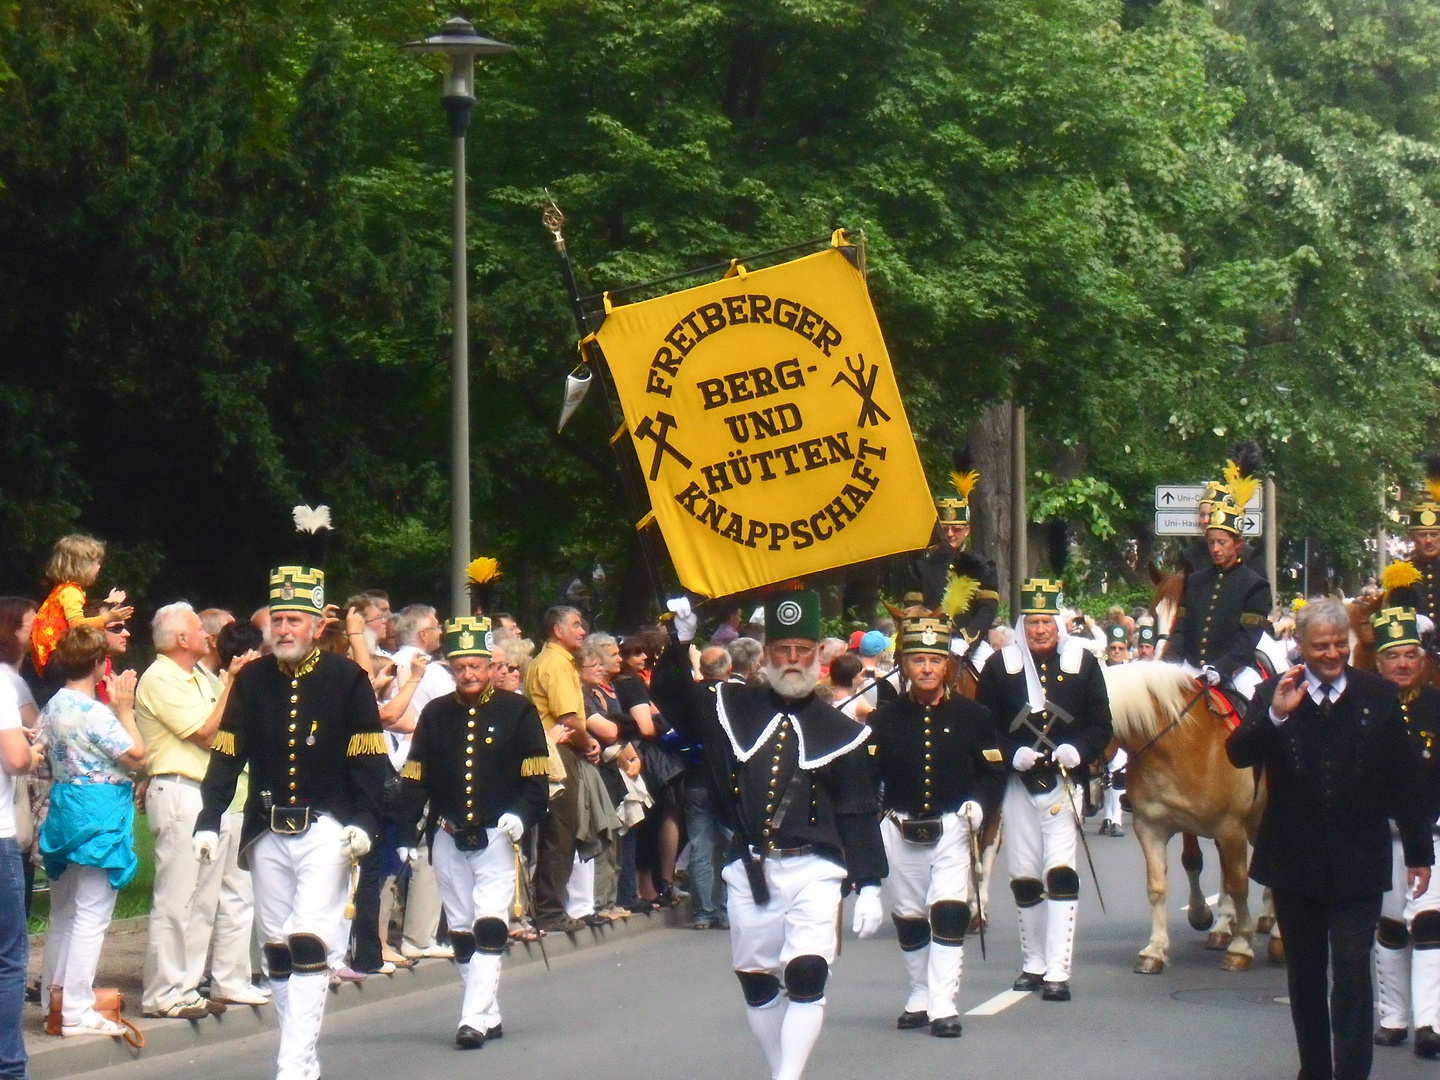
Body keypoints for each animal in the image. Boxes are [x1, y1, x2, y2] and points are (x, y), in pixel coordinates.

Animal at [1105, 665, 1267, 979]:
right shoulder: (1151, 828)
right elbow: (1161, 884)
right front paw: (1155, 950)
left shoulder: (1231, 828)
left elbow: (1239, 884)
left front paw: (1241, 946)